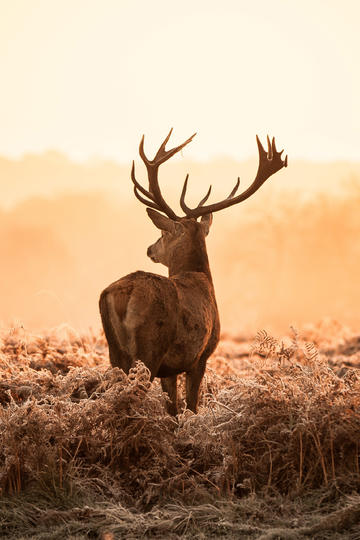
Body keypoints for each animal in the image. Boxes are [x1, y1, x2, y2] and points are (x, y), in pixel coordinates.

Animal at [99, 129, 286, 416]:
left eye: (163, 233)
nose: (150, 249)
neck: (200, 277)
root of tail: (122, 293)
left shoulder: (171, 369)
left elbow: (173, 409)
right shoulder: (201, 356)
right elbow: (192, 407)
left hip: (115, 352)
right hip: (149, 349)